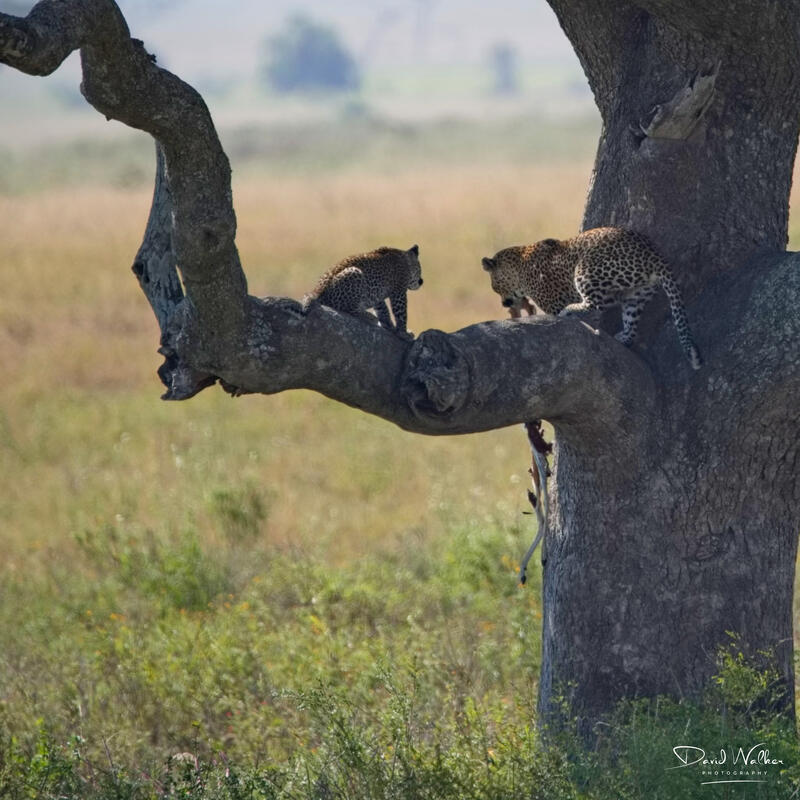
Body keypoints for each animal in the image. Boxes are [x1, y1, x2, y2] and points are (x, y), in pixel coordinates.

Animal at [482, 226, 702, 369]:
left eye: (494, 287)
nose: (503, 303)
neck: (521, 264)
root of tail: (653, 254)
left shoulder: (552, 302)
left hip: (586, 268)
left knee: (594, 305)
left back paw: (570, 311)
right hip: (636, 294)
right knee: (630, 325)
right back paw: (623, 336)